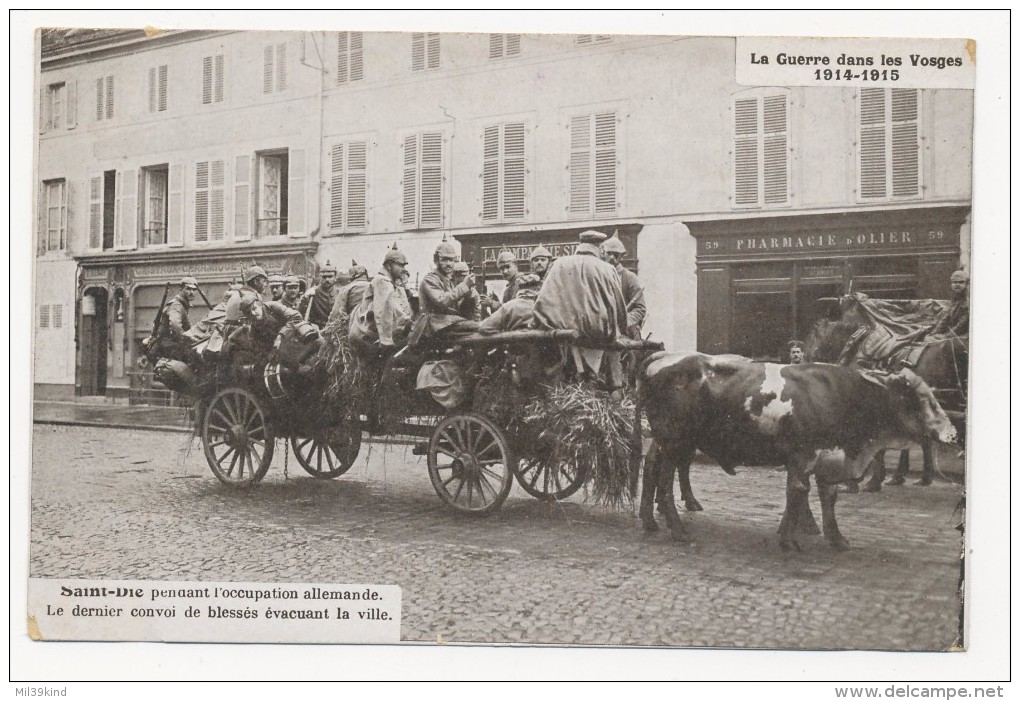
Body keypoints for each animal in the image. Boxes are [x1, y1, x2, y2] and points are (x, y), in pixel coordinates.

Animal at [636, 353, 954, 551]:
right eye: (918, 398)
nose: (952, 432)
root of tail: (663, 358)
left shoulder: (828, 457)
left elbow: (828, 497)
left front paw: (836, 539)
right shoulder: (802, 456)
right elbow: (797, 492)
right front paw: (789, 539)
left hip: (672, 442)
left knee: (652, 468)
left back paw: (650, 520)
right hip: (674, 440)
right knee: (664, 479)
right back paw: (677, 529)